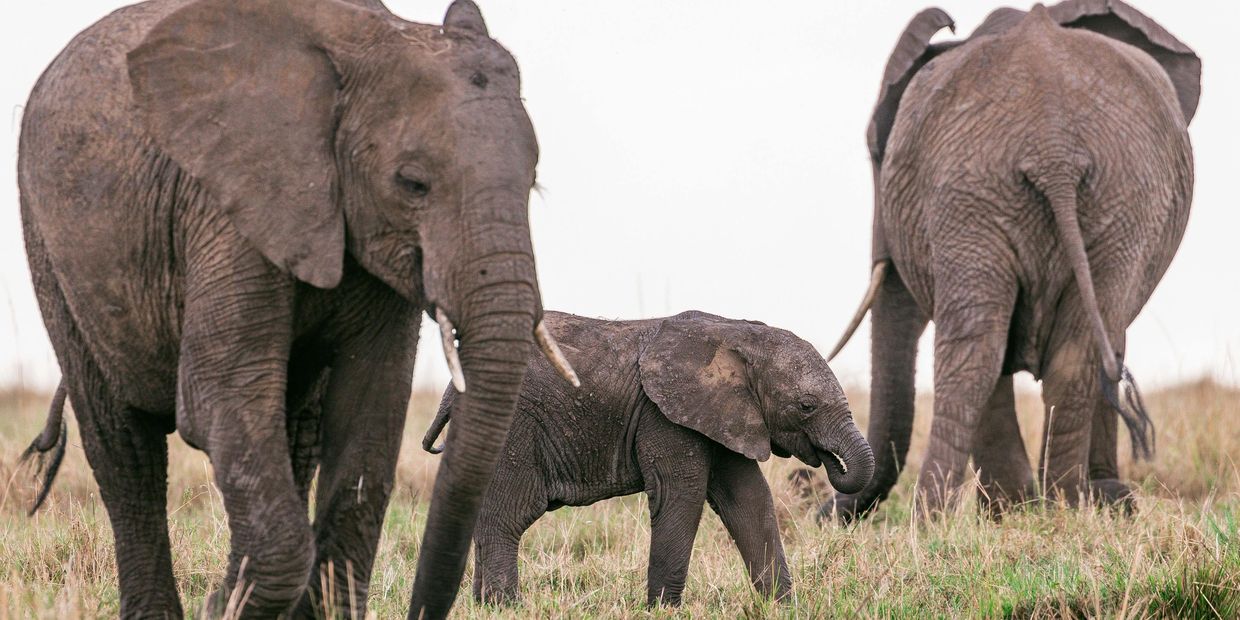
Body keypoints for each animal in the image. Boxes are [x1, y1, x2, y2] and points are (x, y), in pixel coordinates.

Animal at [18, 0, 575, 617]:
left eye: (533, 183)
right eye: (412, 183)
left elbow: (370, 410)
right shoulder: (228, 202)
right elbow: (217, 397)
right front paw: (223, 606)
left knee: (293, 434)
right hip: (51, 249)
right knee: (123, 446)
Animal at [421, 310, 877, 605]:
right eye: (806, 406)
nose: (828, 462)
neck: (738, 334)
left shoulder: (721, 413)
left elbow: (749, 499)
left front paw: (783, 607)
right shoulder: (665, 415)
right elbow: (682, 495)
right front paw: (663, 610)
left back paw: (483, 605)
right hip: (515, 426)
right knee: (508, 515)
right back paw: (506, 607)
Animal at [818, 0, 1195, 520]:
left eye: (879, 157)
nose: (822, 509)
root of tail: (1053, 146)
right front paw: (1079, 502)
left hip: (998, 190)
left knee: (983, 350)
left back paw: (945, 516)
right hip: (1090, 196)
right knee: (1043, 350)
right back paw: (1057, 504)